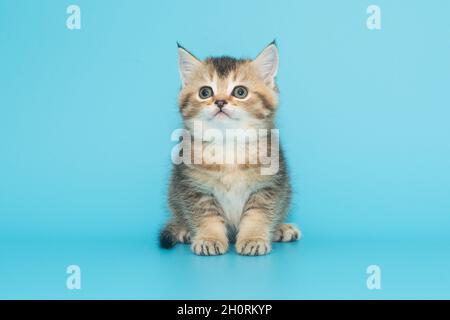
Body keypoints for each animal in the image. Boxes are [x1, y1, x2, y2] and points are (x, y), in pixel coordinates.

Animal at [160, 41, 300, 256]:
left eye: (240, 92)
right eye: (205, 92)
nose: (220, 101)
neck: (228, 141)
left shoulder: (268, 185)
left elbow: (257, 215)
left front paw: (253, 238)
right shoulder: (194, 187)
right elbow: (207, 216)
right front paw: (209, 238)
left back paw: (281, 229)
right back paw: (185, 230)